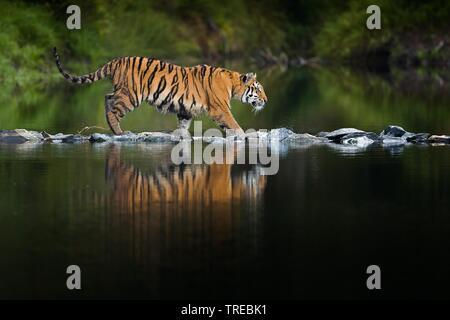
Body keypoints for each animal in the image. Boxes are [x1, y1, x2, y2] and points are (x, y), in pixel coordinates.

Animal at [54, 48, 268, 136]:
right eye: (258, 89)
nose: (266, 100)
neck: (232, 83)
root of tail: (116, 60)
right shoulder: (220, 108)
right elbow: (233, 123)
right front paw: (244, 135)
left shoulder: (185, 110)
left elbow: (183, 126)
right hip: (131, 95)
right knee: (114, 109)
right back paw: (118, 131)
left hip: (122, 91)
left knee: (107, 97)